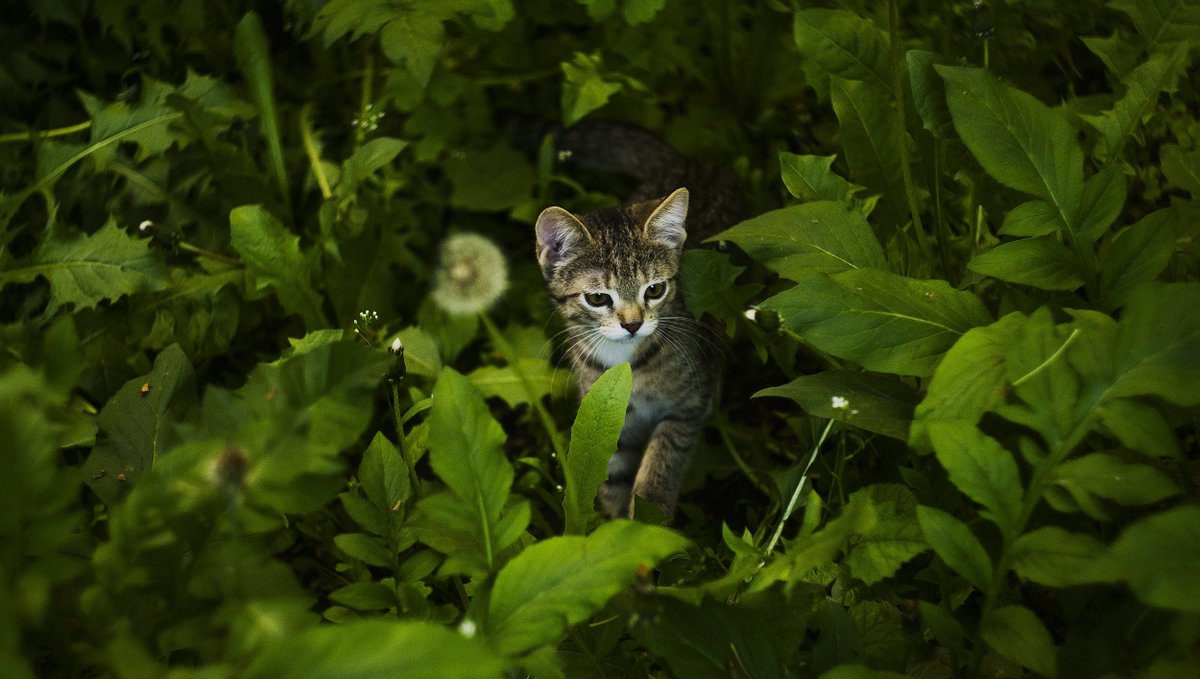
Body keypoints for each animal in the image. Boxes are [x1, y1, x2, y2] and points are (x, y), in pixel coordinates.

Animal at [537, 189, 720, 518]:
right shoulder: (608, 414)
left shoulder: (688, 405)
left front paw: (648, 517)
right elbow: (612, 477)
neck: (625, 362)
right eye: (598, 298)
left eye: (655, 290)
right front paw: (618, 522)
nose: (633, 324)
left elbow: (662, 461)